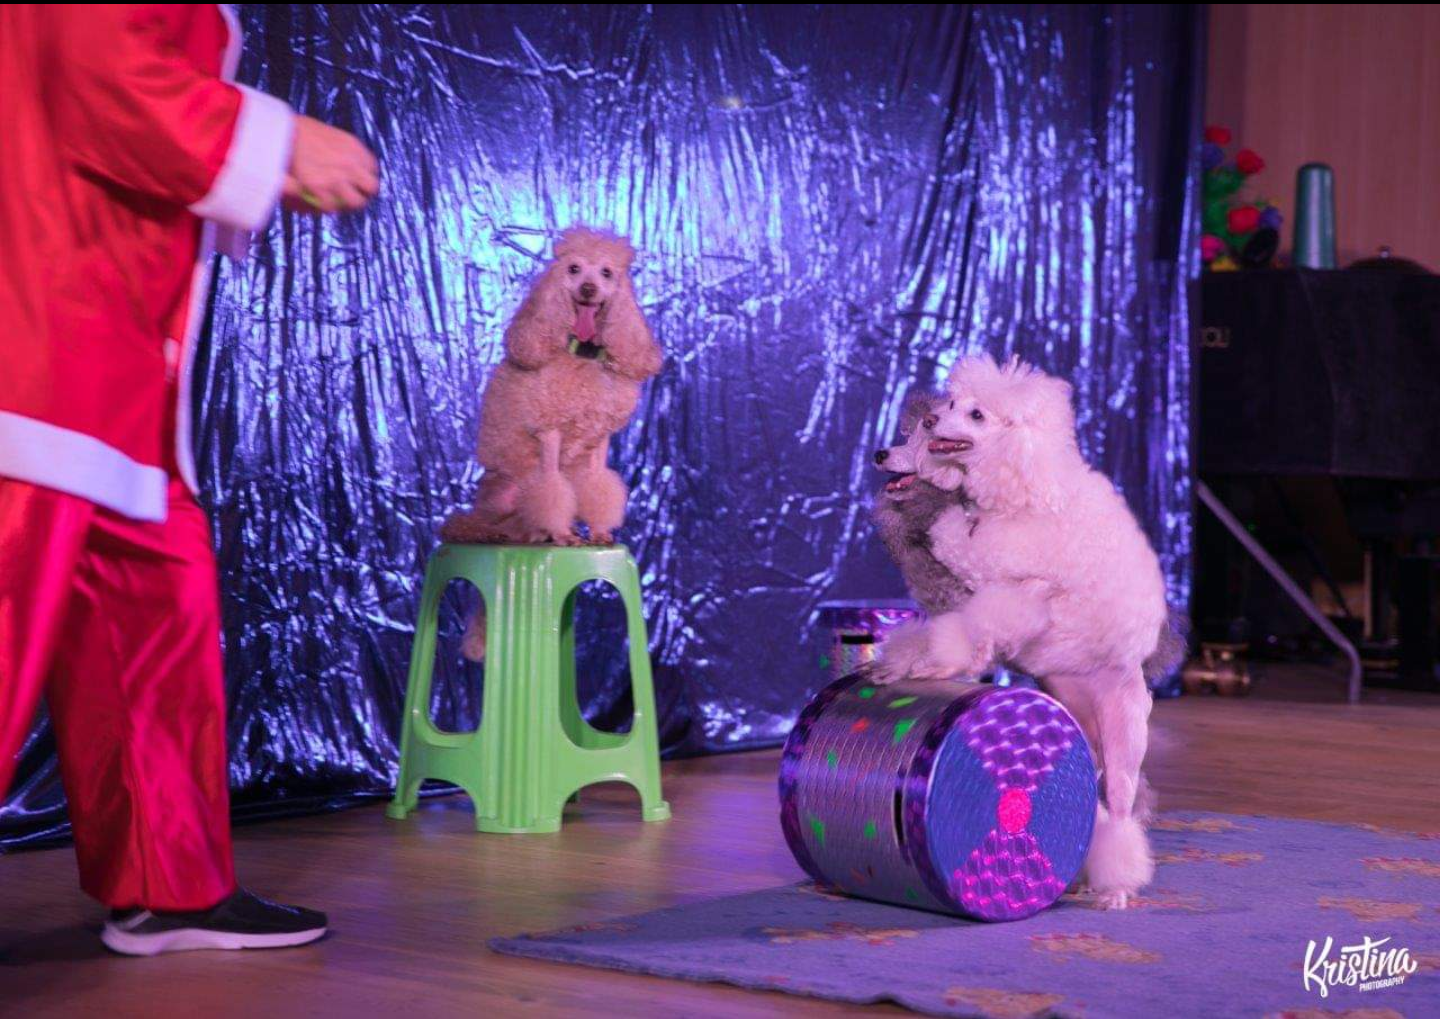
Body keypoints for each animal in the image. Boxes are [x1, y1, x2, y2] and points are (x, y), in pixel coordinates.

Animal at [442, 228, 661, 658]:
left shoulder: (599, 440)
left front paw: (598, 531)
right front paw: (561, 534)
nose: (589, 288)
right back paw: (499, 533)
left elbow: (598, 487)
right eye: (573, 269)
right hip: (501, 495)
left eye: (607, 273)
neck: (582, 356)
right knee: (468, 524)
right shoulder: (550, 433)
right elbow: (550, 489)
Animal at [871, 354, 1183, 909]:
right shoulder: (975, 584)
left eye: (975, 416)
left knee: (1121, 811)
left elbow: (972, 590)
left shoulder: (1020, 585)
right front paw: (912, 662)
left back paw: (1117, 888)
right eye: (948, 406)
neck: (1019, 485)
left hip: (1124, 743)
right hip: (1083, 736)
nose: (882, 453)